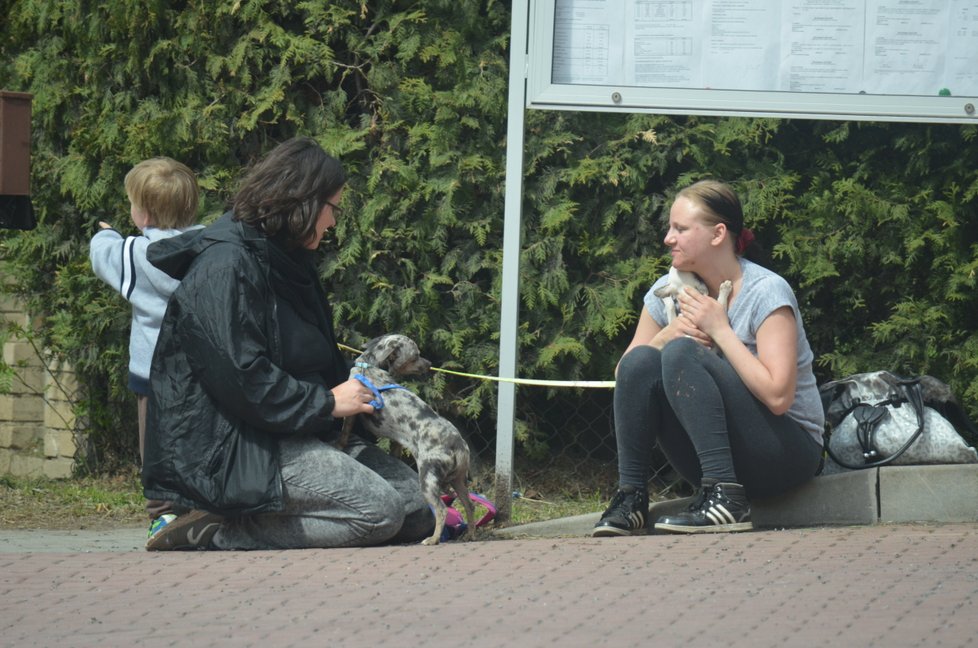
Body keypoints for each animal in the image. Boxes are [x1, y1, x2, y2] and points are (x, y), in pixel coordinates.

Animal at [342, 336, 474, 544]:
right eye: (415, 357)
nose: (429, 364)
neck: (370, 365)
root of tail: (459, 445)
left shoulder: (352, 411)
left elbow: (344, 433)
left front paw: (338, 445)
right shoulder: (397, 439)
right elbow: (395, 450)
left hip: (427, 479)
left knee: (441, 510)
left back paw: (433, 539)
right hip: (458, 480)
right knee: (469, 505)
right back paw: (471, 534)